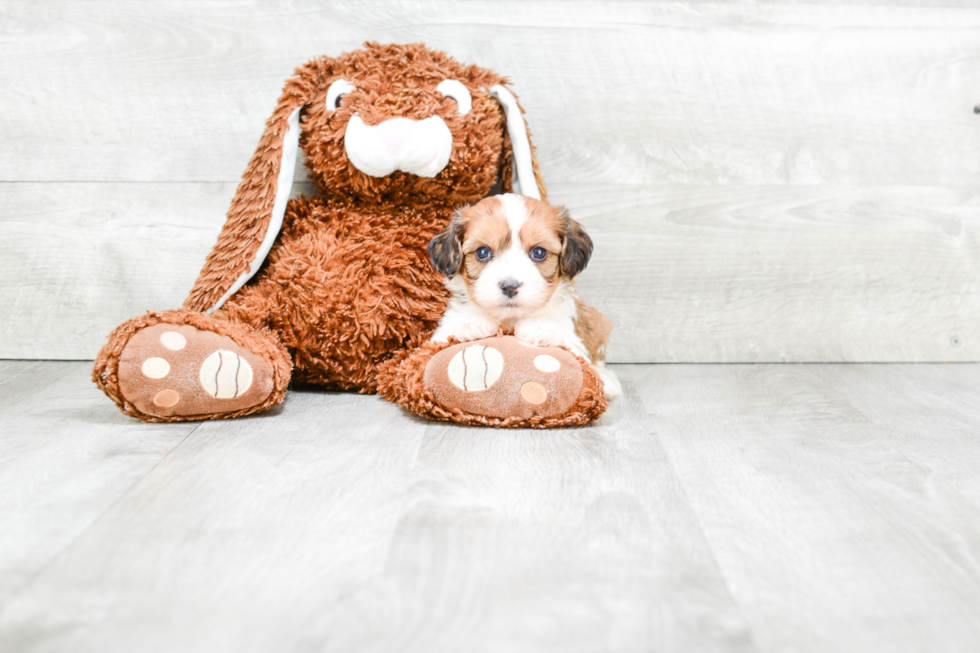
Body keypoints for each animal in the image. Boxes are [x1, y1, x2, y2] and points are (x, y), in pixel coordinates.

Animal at [426, 192, 620, 398]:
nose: (510, 286)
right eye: (483, 252)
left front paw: (538, 326)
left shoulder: (574, 340)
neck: (510, 318)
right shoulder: (438, 336)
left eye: (539, 252)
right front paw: (472, 324)